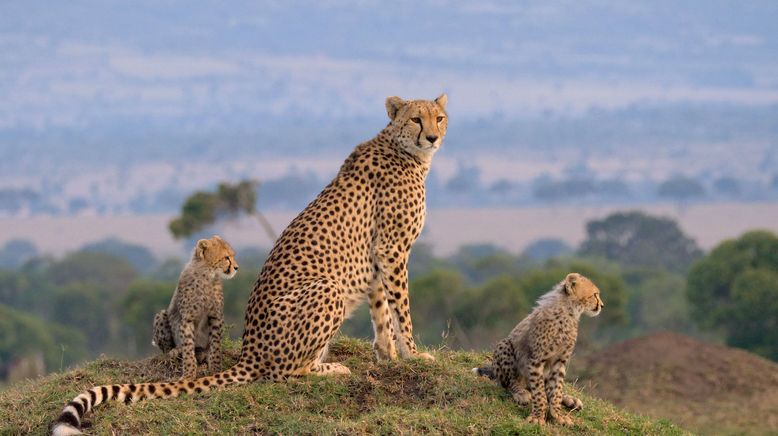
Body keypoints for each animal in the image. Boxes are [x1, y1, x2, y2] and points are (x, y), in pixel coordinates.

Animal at [50, 93, 448, 434]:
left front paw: (389, 356)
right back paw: (331, 368)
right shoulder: (392, 249)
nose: (432, 137)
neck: (403, 150)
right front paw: (414, 356)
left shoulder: (379, 255)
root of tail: (249, 351)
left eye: (439, 117)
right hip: (326, 289)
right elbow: (401, 310)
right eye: (416, 118)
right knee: (284, 373)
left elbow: (382, 312)